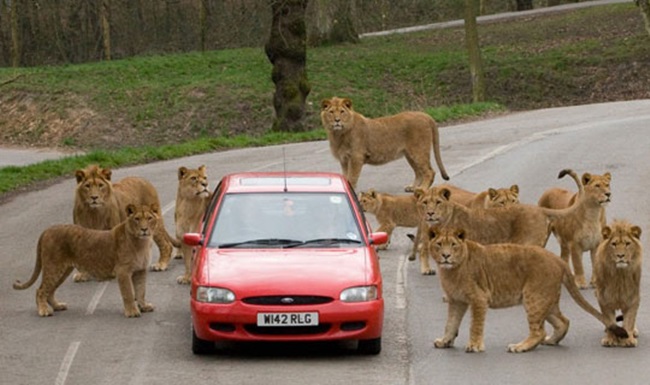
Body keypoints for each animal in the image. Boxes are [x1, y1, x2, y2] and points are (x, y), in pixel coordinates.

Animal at [13, 202, 158, 316]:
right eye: (137, 219)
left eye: (149, 218)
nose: (144, 229)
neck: (141, 243)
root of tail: (47, 230)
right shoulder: (123, 271)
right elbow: (128, 293)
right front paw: (132, 312)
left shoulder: (140, 270)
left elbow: (141, 291)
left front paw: (144, 306)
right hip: (53, 267)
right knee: (41, 290)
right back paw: (44, 311)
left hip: (63, 270)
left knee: (50, 290)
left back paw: (58, 306)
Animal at [318, 96, 446, 192]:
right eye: (331, 112)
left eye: (342, 112)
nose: (337, 120)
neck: (338, 134)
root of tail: (425, 115)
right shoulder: (344, 159)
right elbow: (345, 176)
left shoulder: (356, 157)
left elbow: (352, 177)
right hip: (410, 154)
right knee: (419, 172)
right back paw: (413, 187)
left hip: (418, 151)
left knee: (429, 172)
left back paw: (422, 189)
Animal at [426, 226, 628, 352]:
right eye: (439, 244)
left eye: (453, 245)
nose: (445, 256)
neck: (450, 271)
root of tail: (558, 260)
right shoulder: (456, 300)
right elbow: (450, 323)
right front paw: (444, 341)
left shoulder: (479, 299)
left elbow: (475, 325)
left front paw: (474, 346)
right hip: (546, 300)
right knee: (563, 321)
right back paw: (551, 341)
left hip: (533, 298)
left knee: (539, 331)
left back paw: (520, 347)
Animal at [588, 219, 640, 348]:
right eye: (614, 244)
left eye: (627, 244)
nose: (620, 256)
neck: (619, 275)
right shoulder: (604, 298)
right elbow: (609, 319)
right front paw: (610, 339)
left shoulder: (633, 297)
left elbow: (630, 319)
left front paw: (628, 339)